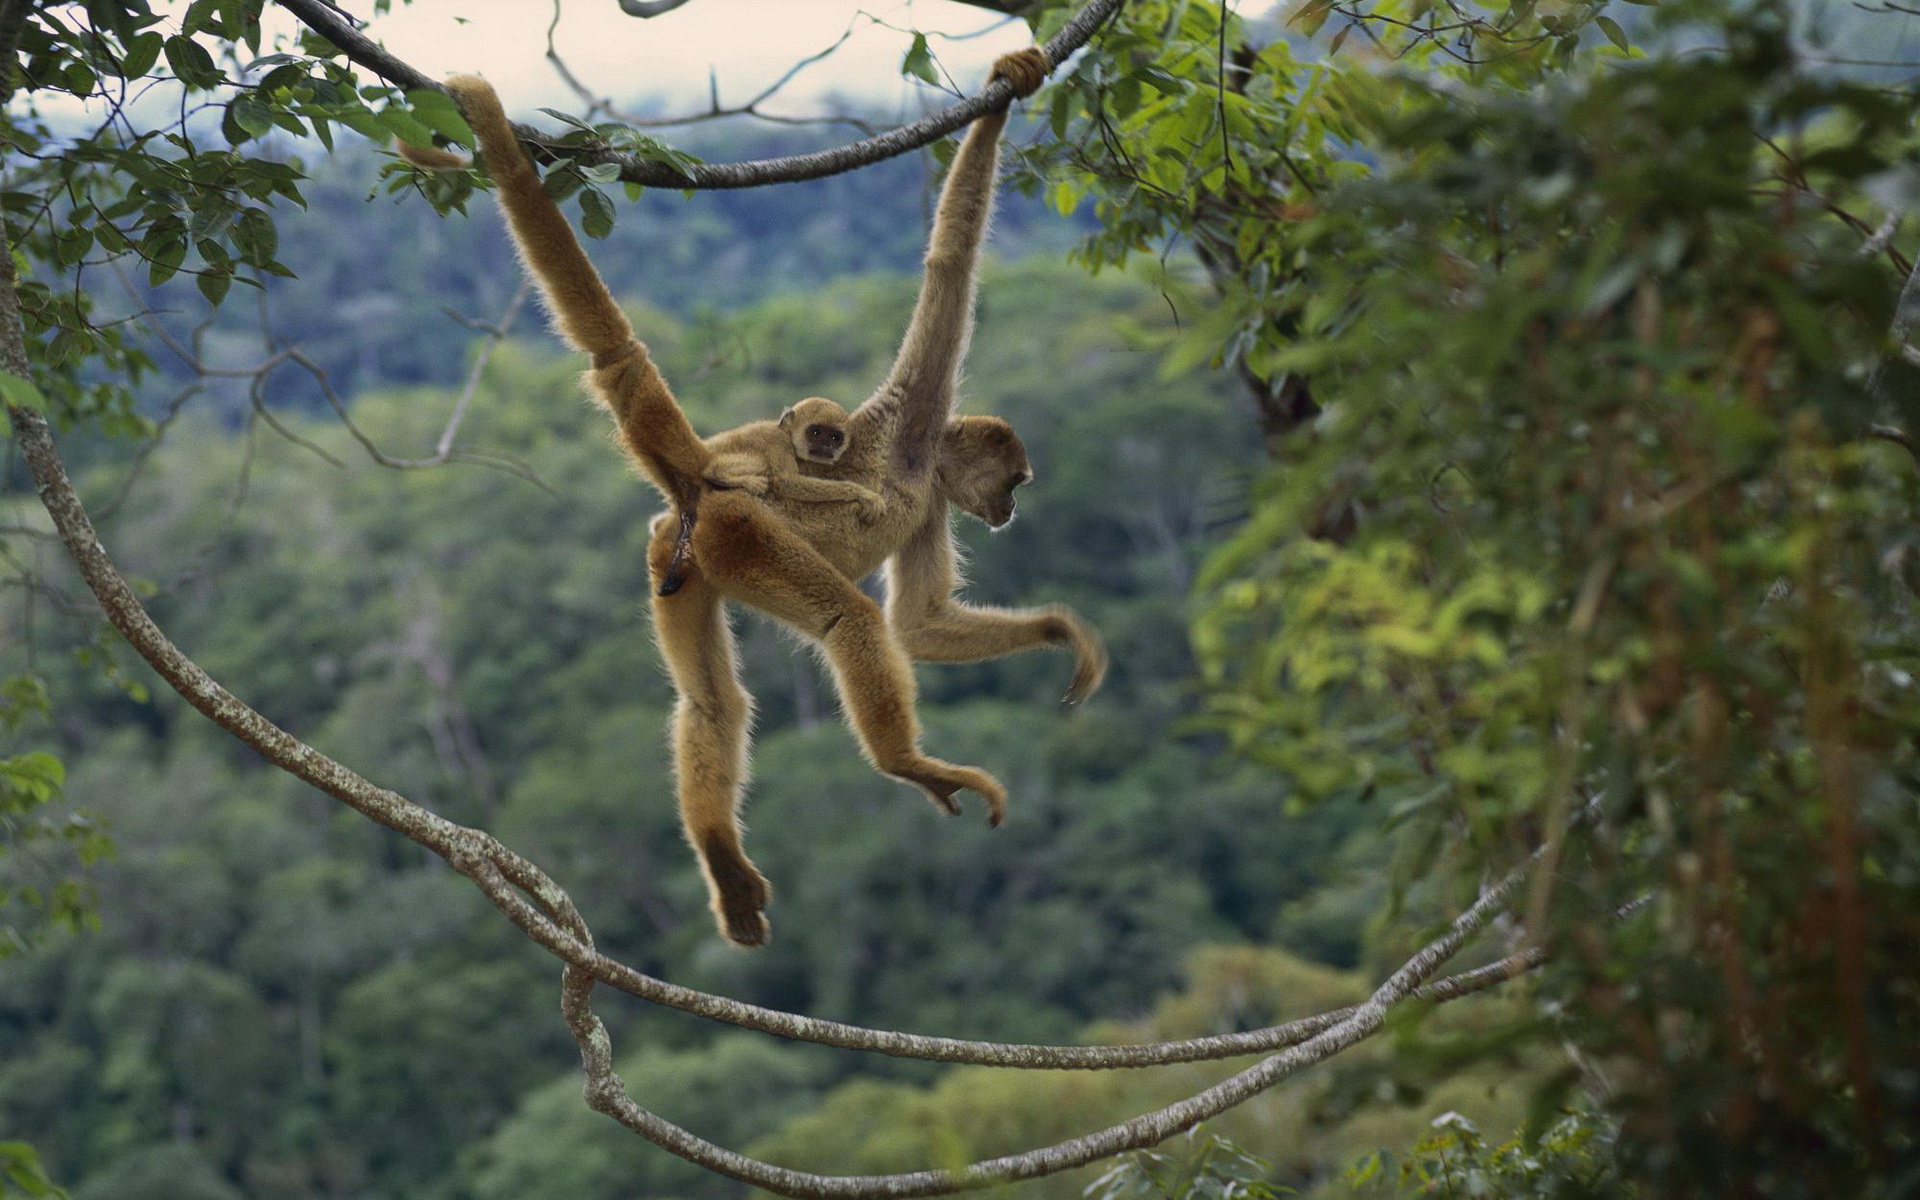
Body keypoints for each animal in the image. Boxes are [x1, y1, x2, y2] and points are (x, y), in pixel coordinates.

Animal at [652, 395, 879, 595]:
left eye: (834, 437)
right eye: (816, 432)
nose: (827, 446)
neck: (785, 433)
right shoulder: (778, 442)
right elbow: (787, 482)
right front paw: (862, 494)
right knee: (723, 470)